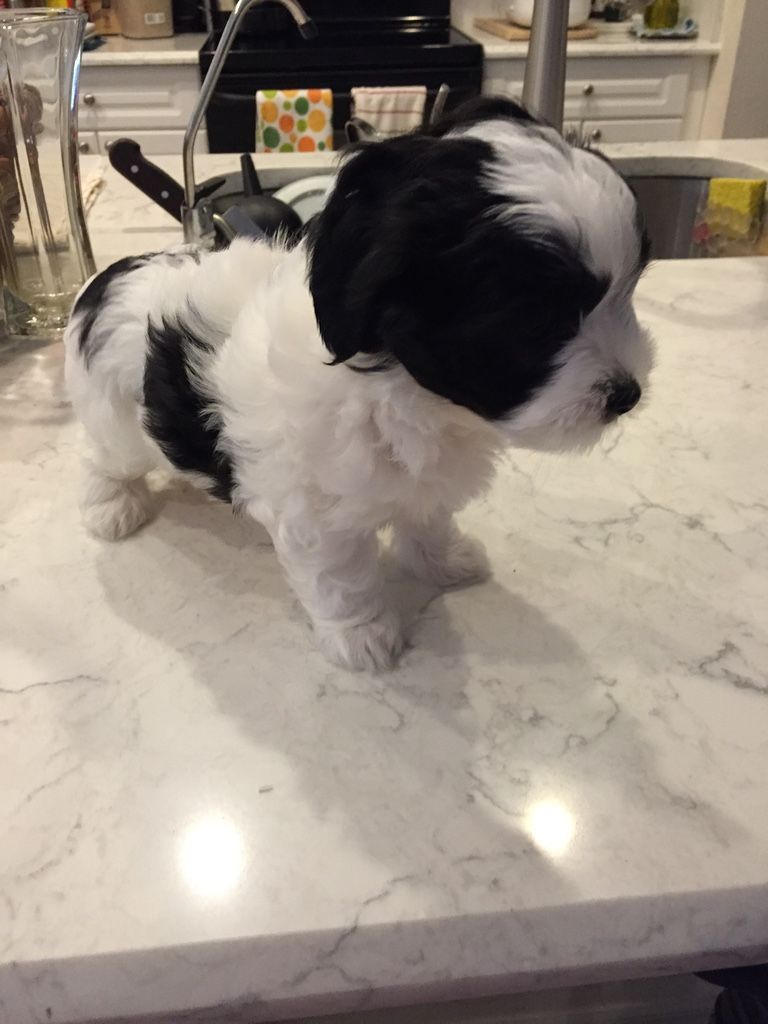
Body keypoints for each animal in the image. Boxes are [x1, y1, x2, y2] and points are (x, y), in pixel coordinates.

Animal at [66, 97, 655, 671]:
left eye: (629, 291)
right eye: (538, 325)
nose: (627, 394)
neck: (411, 395)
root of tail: (106, 279)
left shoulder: (425, 482)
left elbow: (428, 518)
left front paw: (442, 561)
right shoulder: (316, 515)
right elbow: (342, 578)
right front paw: (363, 635)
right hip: (114, 421)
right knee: (102, 459)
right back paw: (110, 508)